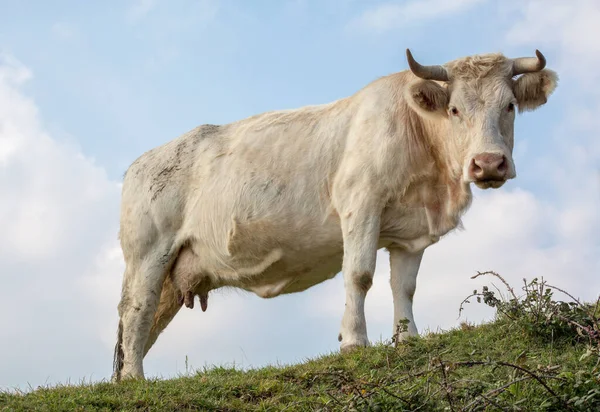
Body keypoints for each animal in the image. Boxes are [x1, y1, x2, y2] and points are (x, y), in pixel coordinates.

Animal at [111, 50, 556, 382]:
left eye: (510, 106)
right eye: (455, 109)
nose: (488, 163)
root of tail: (142, 161)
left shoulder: (410, 233)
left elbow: (405, 287)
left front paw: (408, 340)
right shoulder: (360, 202)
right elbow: (359, 275)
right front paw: (355, 341)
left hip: (173, 272)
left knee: (145, 324)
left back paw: (125, 381)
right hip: (148, 252)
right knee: (136, 311)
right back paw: (134, 380)